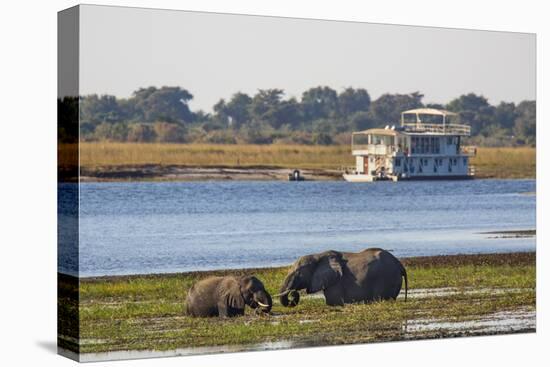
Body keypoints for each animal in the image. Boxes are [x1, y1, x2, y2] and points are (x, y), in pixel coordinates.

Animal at [278, 247, 408, 308]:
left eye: (298, 272)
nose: (293, 293)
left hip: (388, 278)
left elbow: (332, 302)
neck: (318, 256)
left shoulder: (336, 282)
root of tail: (399, 264)